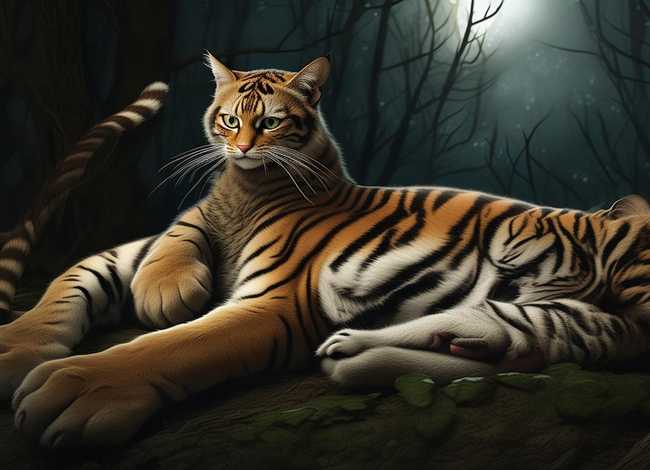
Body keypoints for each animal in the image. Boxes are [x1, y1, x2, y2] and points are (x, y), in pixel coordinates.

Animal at [2, 53, 650, 449]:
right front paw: (20, 347)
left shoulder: (272, 304)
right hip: (551, 317)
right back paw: (359, 353)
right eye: (229, 118)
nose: (241, 147)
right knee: (510, 333)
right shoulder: (150, 243)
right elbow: (77, 276)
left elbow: (170, 346)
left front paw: (79, 387)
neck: (245, 189)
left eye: (269, 122)